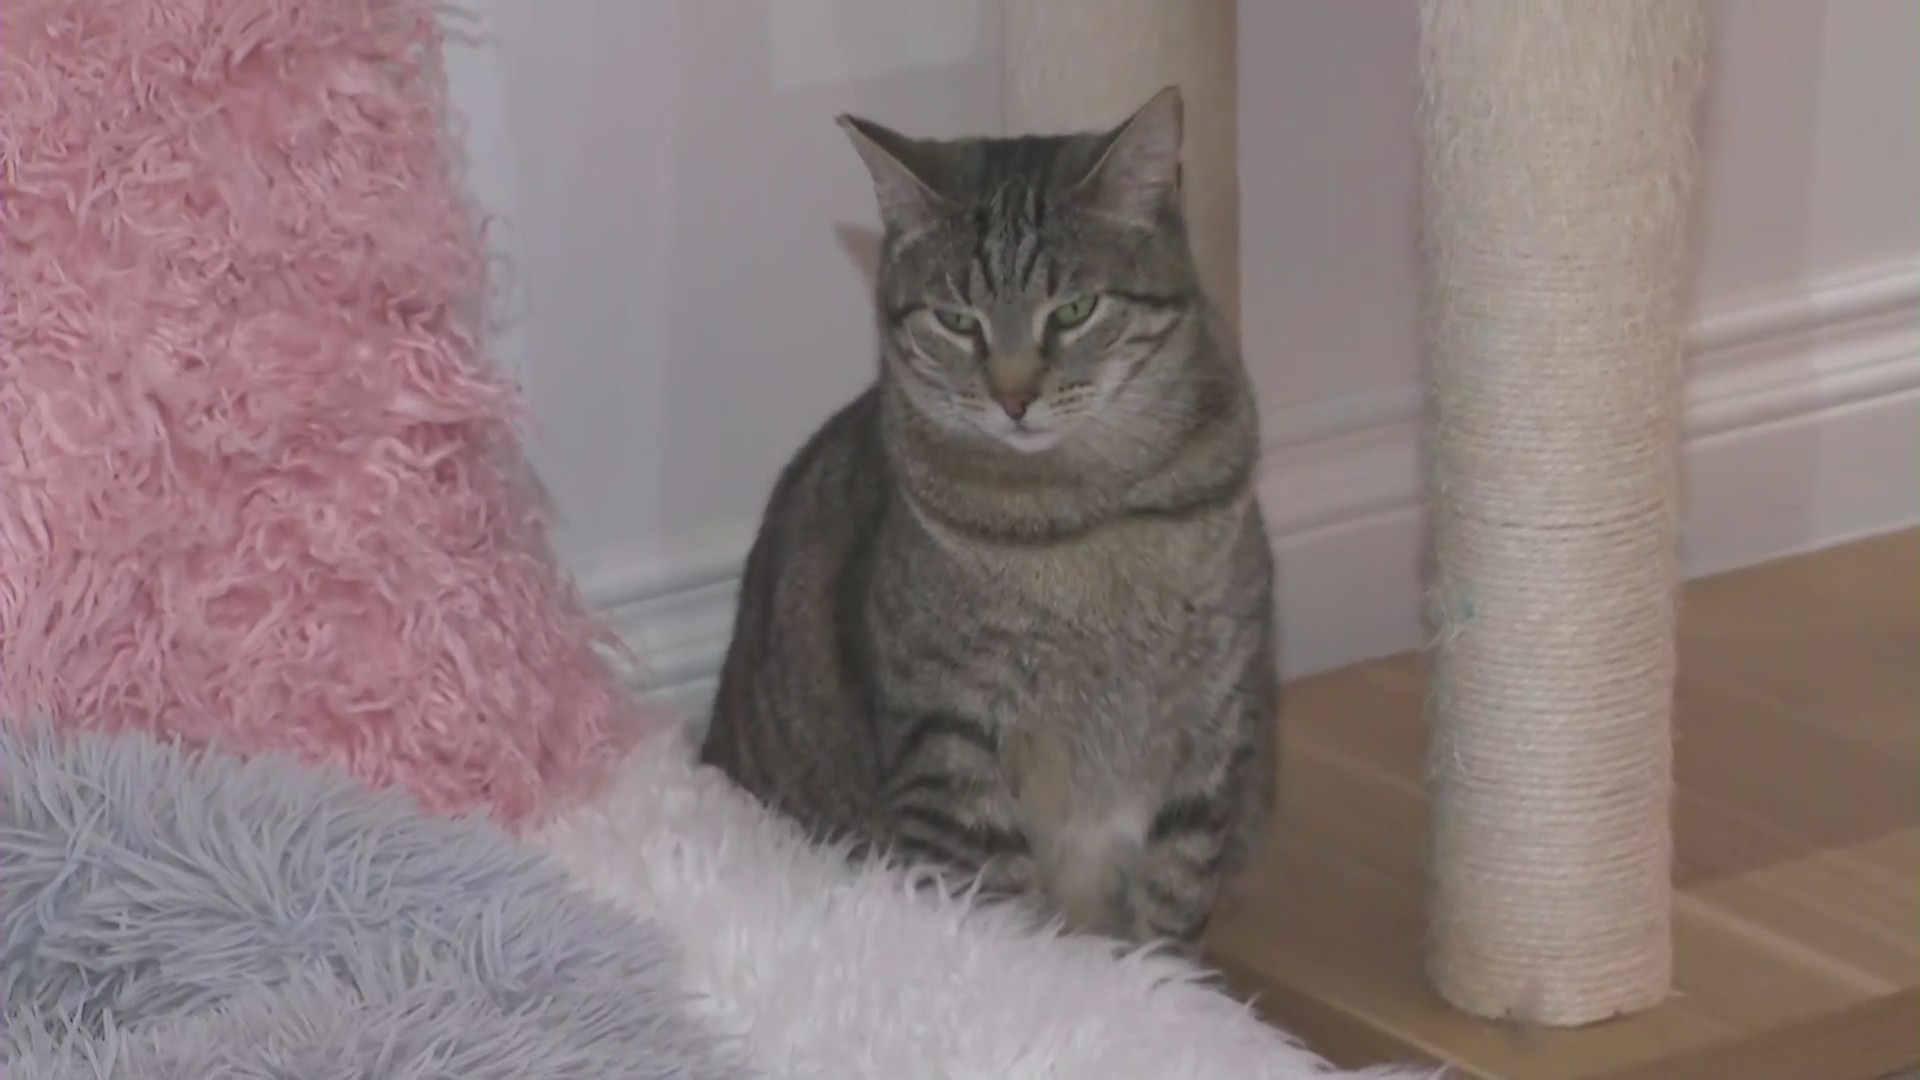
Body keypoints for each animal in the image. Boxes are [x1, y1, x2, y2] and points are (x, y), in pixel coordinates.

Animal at [702, 85, 1274, 941]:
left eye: (1073, 310)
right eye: (956, 321)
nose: (1013, 397)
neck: (1088, 519)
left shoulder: (1209, 731)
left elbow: (1167, 917)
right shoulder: (950, 736)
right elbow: (1003, 915)